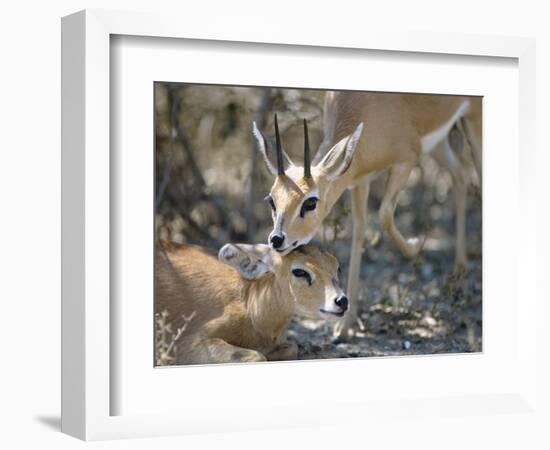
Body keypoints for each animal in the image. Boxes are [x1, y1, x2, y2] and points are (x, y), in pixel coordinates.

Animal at [155, 241, 348, 364]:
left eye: (336, 266)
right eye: (299, 271)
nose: (342, 301)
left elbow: (292, 347)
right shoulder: (187, 345)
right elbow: (258, 356)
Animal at [254, 93, 484, 340]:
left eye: (311, 201)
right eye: (271, 200)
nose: (277, 239)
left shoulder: (406, 161)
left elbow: (384, 214)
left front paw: (415, 245)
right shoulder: (359, 180)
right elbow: (359, 231)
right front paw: (344, 326)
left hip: (473, 122)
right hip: (440, 142)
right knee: (460, 175)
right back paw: (459, 277)